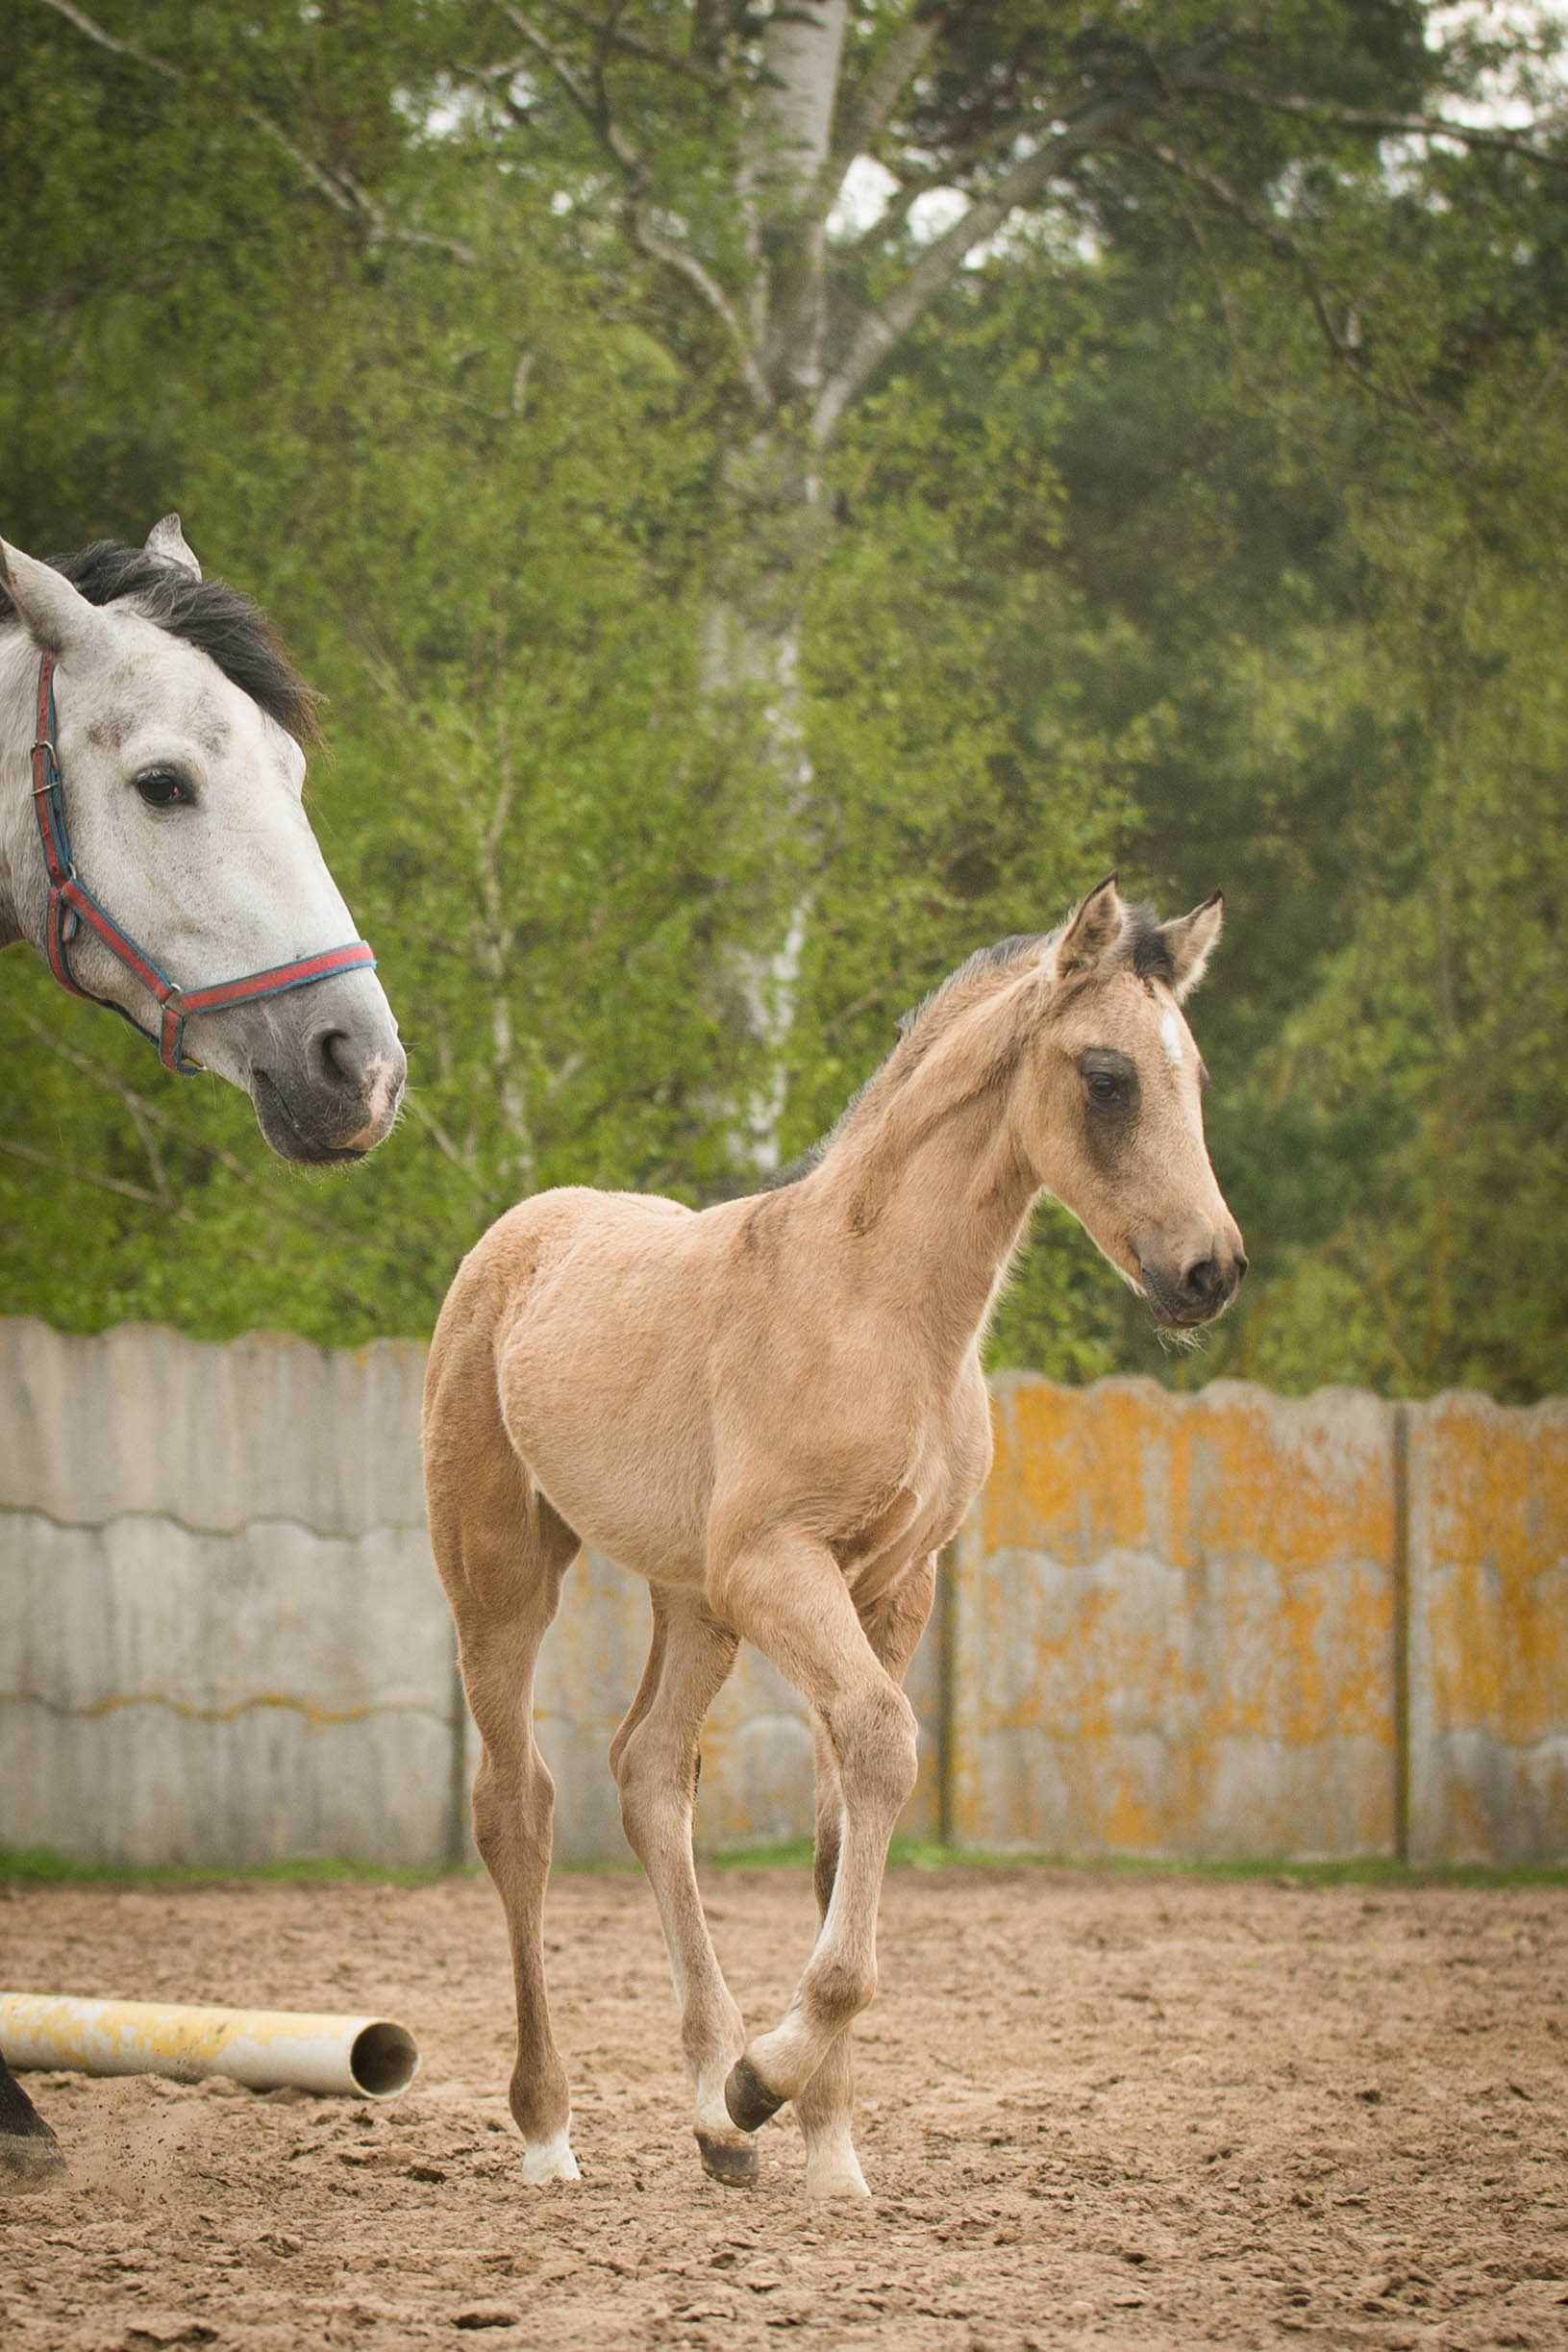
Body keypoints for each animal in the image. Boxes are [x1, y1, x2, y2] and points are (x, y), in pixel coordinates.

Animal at [423, 874, 1241, 2191]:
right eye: (1107, 1076)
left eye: (1195, 1073)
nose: (1206, 1271)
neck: (876, 1307)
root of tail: (514, 1236)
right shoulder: (778, 1568)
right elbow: (884, 1741)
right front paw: (770, 2077)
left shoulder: (889, 1584)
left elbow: (839, 1816)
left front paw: (819, 2143)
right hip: (502, 1571)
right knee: (517, 1807)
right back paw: (551, 2131)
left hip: (689, 1600)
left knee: (648, 1772)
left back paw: (713, 2117)